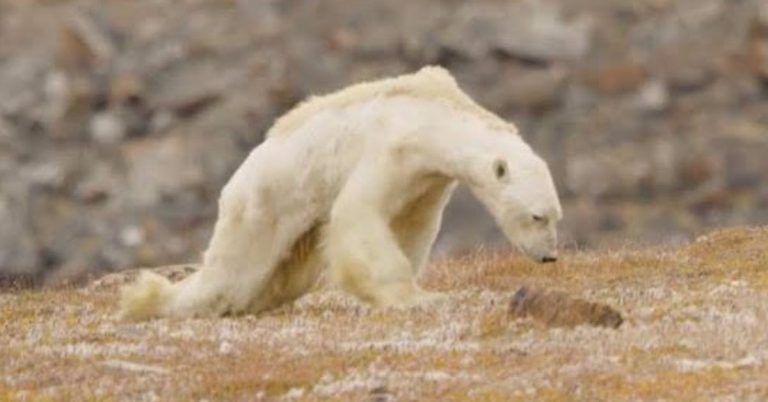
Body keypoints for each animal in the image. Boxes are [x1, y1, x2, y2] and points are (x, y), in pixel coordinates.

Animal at [119, 66, 562, 320]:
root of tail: (234, 183)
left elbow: (412, 226)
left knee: (284, 278)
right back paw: (149, 301)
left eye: (555, 216)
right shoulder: (391, 149)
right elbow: (358, 212)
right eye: (536, 216)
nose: (549, 256)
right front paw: (414, 298)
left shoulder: (428, 180)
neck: (434, 115)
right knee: (232, 274)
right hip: (263, 205)